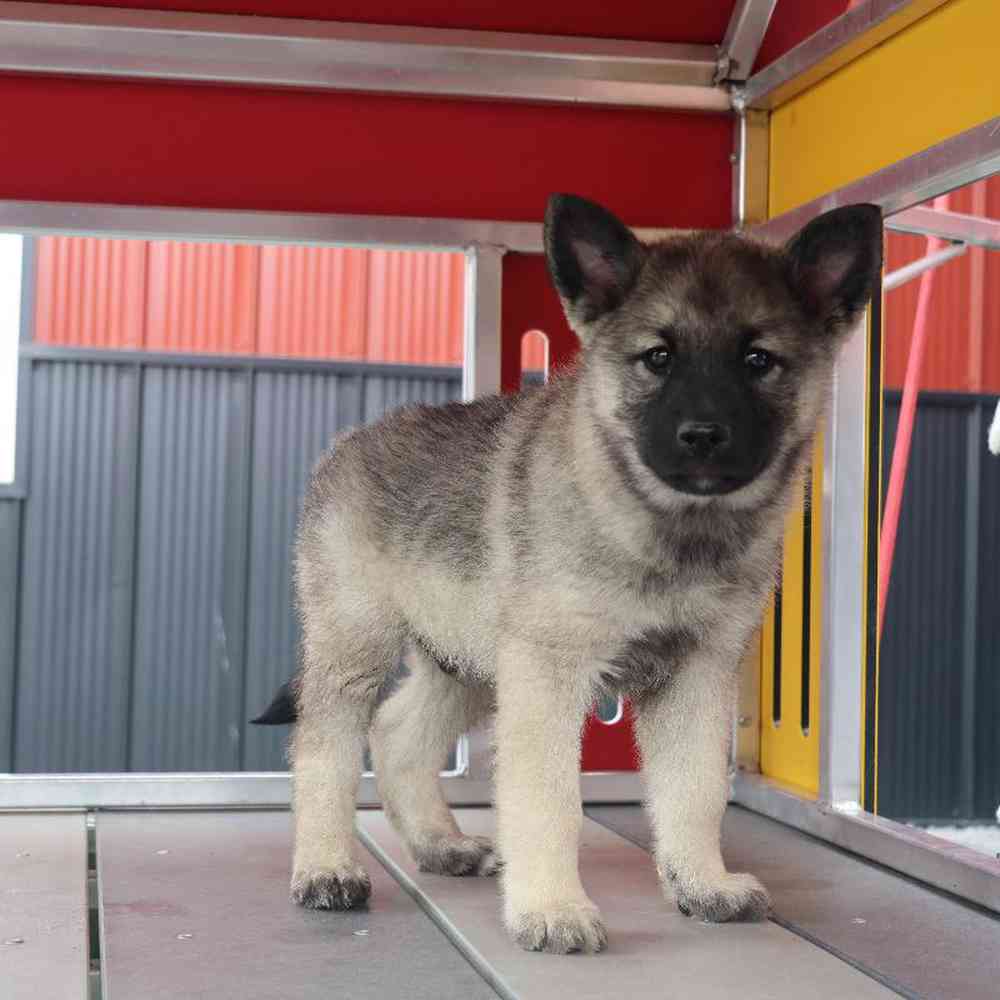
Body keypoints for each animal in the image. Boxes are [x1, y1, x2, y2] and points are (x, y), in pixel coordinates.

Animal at [254, 193, 880, 952]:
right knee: (325, 746)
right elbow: (549, 798)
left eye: (759, 360)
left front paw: (703, 884)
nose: (703, 436)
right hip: (358, 647)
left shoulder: (695, 675)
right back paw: (325, 867)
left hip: (469, 660)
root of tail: (348, 443)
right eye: (658, 358)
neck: (665, 528)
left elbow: (695, 789)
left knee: (399, 736)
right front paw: (552, 909)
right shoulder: (549, 675)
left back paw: (440, 844)